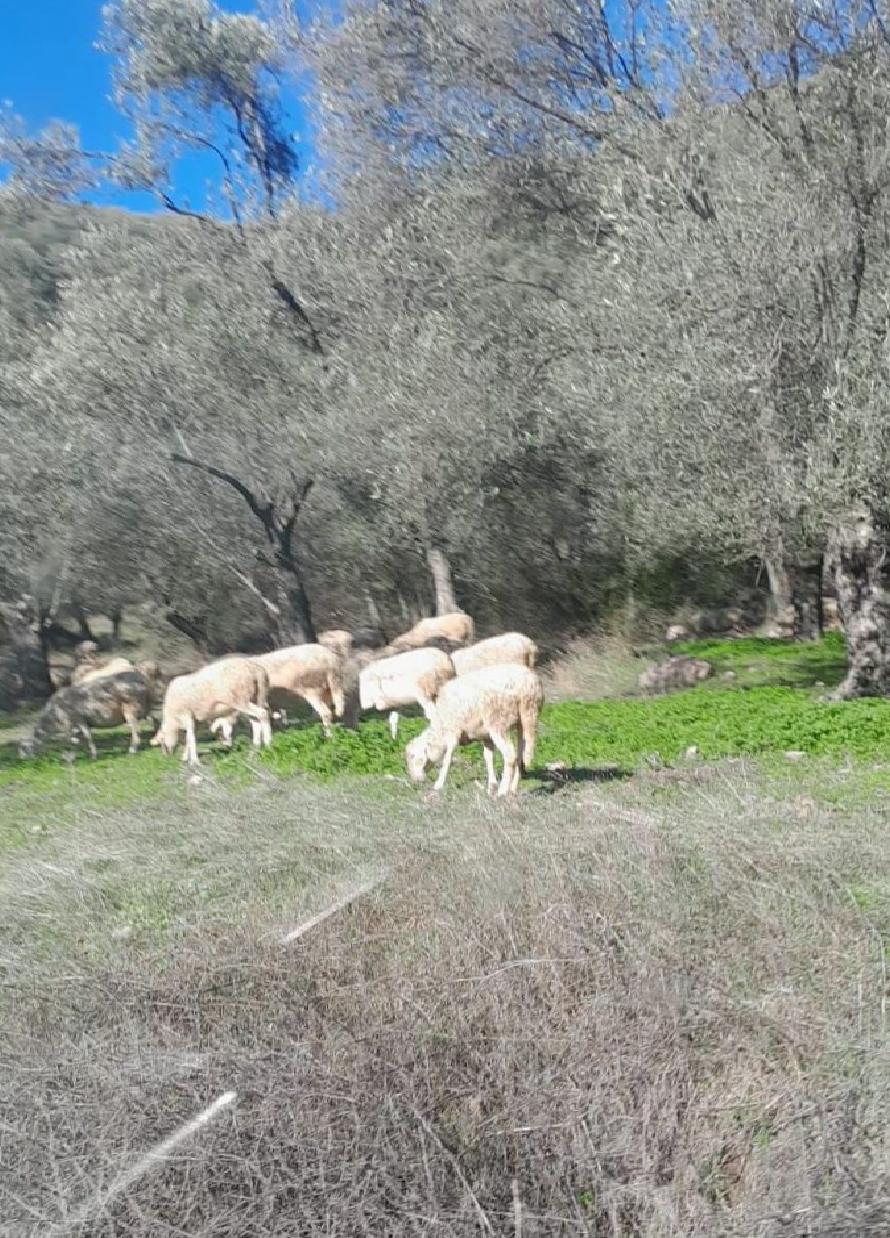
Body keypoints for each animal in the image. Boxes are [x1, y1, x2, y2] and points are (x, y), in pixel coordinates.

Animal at [18, 673, 154, 757]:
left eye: (24, 749)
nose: (22, 760)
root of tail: (142, 678)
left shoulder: (77, 720)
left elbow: (82, 737)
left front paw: (89, 755)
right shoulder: (77, 724)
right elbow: (78, 739)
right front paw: (78, 753)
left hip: (131, 709)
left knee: (136, 729)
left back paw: (132, 749)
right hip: (144, 707)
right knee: (153, 720)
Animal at [210, 648, 346, 742]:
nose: (226, 744)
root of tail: (330, 659)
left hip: (312, 690)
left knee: (325, 713)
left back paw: (328, 738)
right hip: (328, 690)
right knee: (331, 711)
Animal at [403, 663, 542, 797]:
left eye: (412, 757)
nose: (415, 781)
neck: (440, 728)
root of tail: (526, 686)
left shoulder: (453, 731)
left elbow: (448, 758)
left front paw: (439, 784)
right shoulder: (486, 736)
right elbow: (488, 757)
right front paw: (491, 785)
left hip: (498, 722)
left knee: (510, 755)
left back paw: (502, 791)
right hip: (524, 722)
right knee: (520, 756)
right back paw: (513, 789)